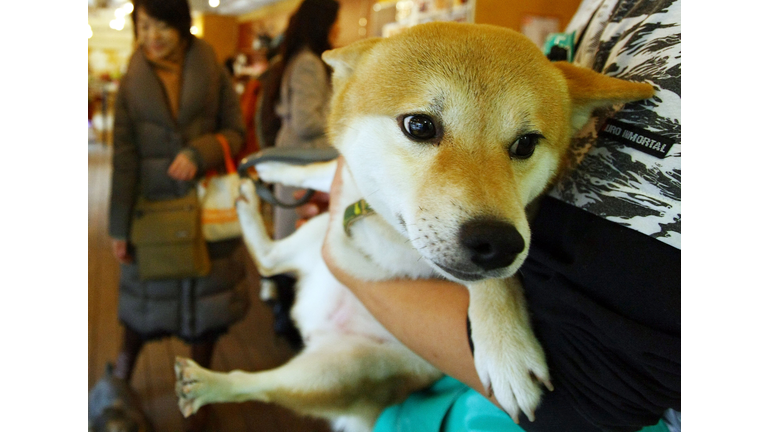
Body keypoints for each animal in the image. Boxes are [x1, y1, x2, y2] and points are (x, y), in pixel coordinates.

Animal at [174, 21, 656, 432]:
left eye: (525, 144)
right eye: (420, 125)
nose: (498, 243)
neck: (386, 228)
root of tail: (312, 327)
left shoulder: (508, 233)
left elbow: (496, 281)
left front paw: (507, 347)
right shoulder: (347, 183)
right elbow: (322, 169)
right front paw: (277, 167)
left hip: (344, 364)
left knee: (265, 329)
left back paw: (208, 382)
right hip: (319, 241)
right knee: (270, 262)